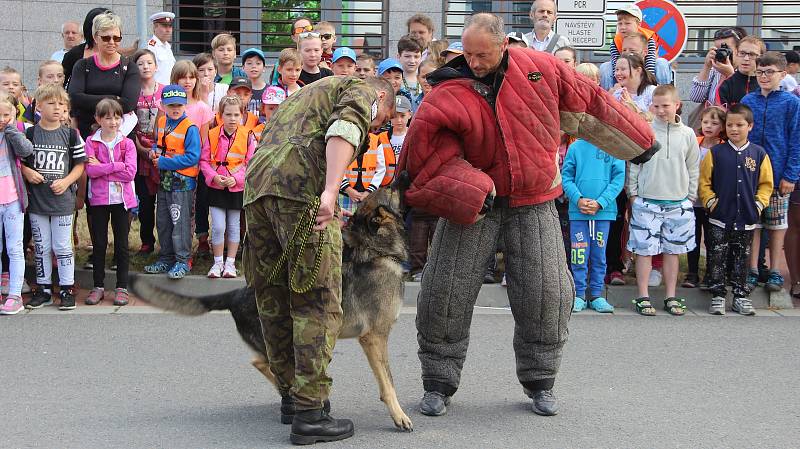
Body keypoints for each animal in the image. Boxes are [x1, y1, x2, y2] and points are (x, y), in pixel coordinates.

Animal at [130, 190, 412, 430]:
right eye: (393, 189)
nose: (405, 174)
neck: (377, 252)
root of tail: (236, 294)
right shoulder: (374, 338)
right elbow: (388, 382)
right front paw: (399, 416)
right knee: (266, 364)